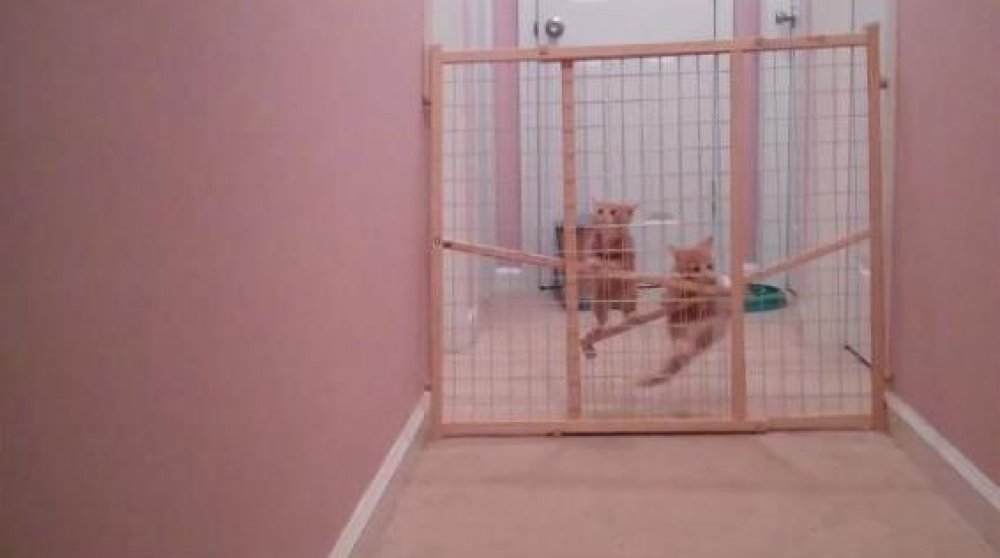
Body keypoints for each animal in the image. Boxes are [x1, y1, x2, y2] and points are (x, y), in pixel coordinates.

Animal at [580, 200, 638, 358]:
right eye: (600, 210)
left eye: (613, 212)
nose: (603, 216)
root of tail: (614, 298)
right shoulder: (591, 245)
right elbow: (591, 257)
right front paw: (595, 262)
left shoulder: (627, 253)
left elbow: (616, 262)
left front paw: (606, 263)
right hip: (599, 299)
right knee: (601, 317)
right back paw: (596, 328)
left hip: (629, 292)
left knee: (628, 309)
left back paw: (631, 316)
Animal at [638, 236, 731, 386]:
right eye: (695, 268)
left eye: (710, 266)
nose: (710, 277)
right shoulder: (674, 294)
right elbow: (671, 294)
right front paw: (671, 295)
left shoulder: (713, 301)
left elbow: (709, 302)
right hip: (676, 326)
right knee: (679, 342)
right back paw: (681, 348)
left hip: (711, 329)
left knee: (698, 342)